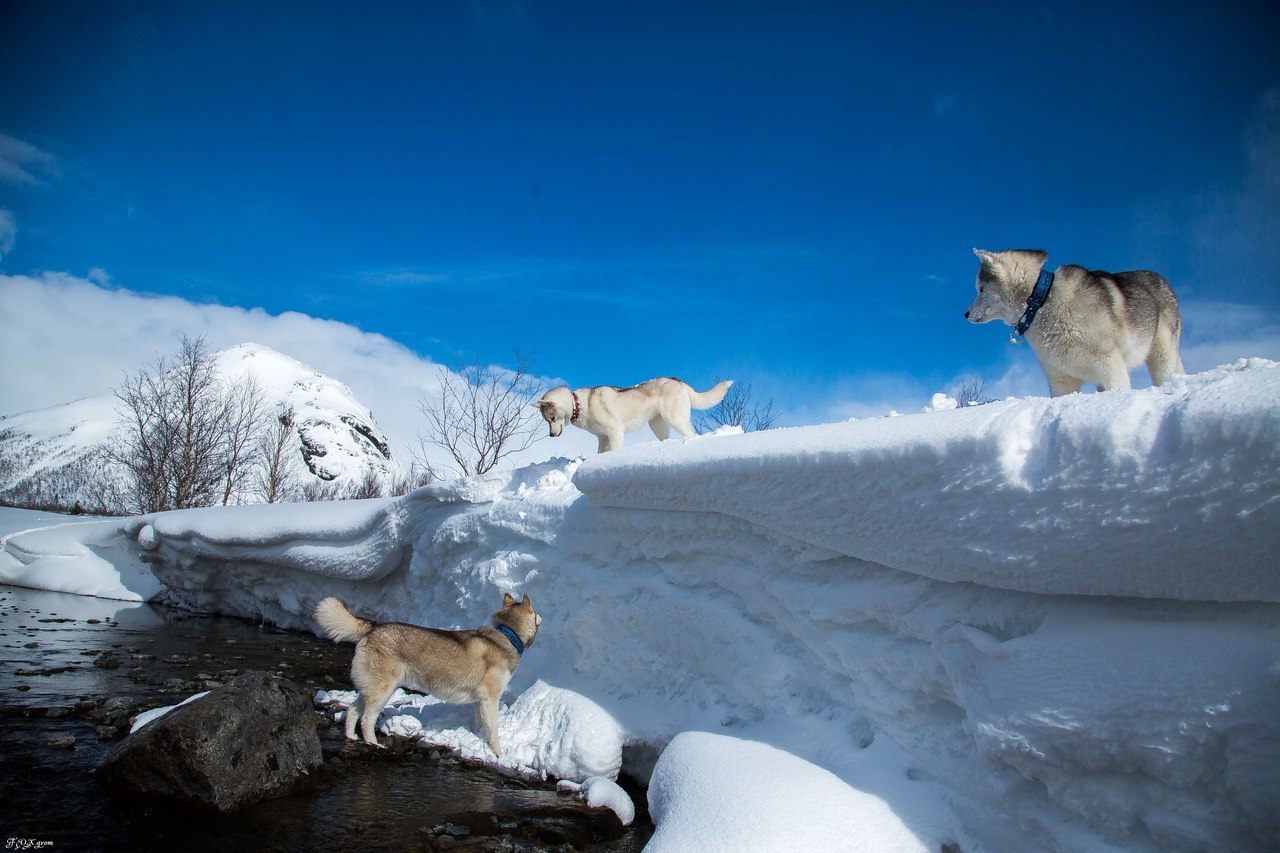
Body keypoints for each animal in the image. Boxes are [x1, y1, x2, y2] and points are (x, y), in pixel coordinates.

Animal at [320, 591, 545, 753]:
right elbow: (493, 733)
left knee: (352, 710)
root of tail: (373, 626)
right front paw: (498, 754)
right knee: (367, 719)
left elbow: (482, 727)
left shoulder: (478, 702)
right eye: (535, 610)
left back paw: (351, 737)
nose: (543, 614)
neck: (508, 635)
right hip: (382, 691)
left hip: (370, 689)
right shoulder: (490, 700)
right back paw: (374, 744)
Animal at [532, 373, 732, 448]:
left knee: (692, 434)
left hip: (676, 420)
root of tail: (676, 380)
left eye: (552, 417)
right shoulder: (603, 438)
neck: (580, 404)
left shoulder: (615, 432)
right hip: (657, 426)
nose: (551, 435)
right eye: (546, 420)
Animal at [962, 244, 1182, 394]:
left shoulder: (1110, 366)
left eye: (981, 289)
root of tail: (1160, 278)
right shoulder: (1061, 378)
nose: (966, 314)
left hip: (1161, 356)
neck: (1041, 302)